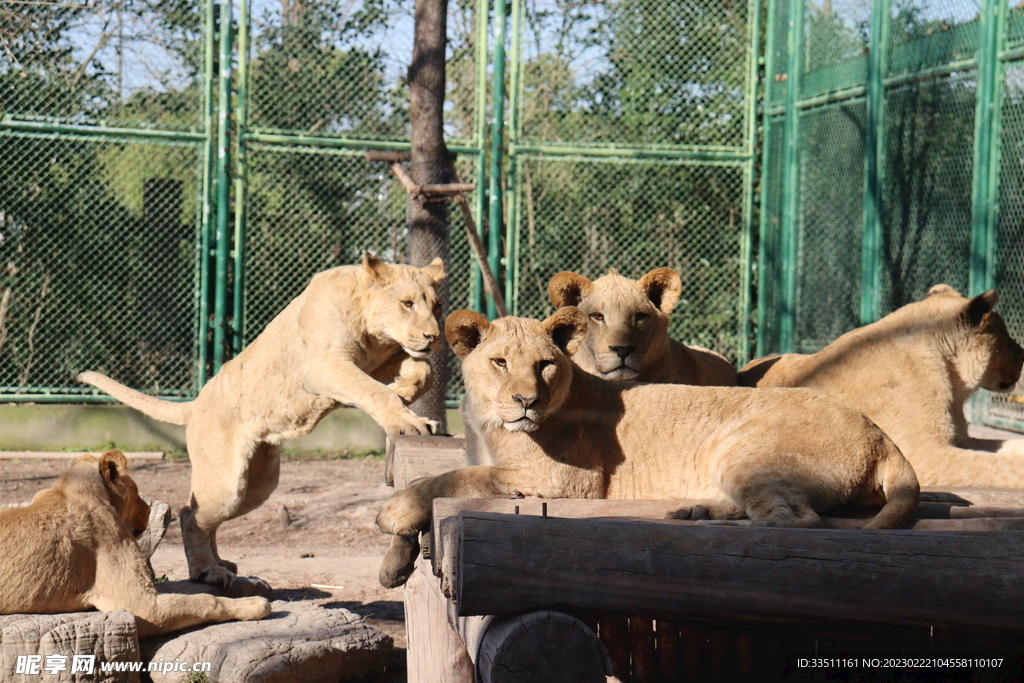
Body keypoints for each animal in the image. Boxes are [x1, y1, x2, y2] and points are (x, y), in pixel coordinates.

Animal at [0, 450, 272, 638]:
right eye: (137, 490)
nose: (149, 509)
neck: (71, 489)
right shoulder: (139, 603)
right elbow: (204, 600)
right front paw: (253, 604)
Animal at [77, 253, 446, 589]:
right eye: (407, 303)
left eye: (437, 306)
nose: (434, 337)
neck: (375, 333)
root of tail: (196, 403)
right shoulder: (324, 367)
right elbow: (375, 390)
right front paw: (408, 420)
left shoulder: (380, 361)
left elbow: (423, 371)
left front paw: (406, 392)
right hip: (225, 482)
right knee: (190, 514)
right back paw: (208, 572)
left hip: (257, 486)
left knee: (209, 519)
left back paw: (222, 563)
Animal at [376, 309, 921, 581]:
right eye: (500, 362)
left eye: (546, 365)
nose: (527, 401)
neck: (485, 421)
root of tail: (881, 434)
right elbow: (454, 476)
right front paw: (394, 565)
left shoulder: (562, 480)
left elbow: (451, 478)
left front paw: (395, 513)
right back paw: (694, 511)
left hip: (740, 447)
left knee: (796, 521)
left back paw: (709, 523)